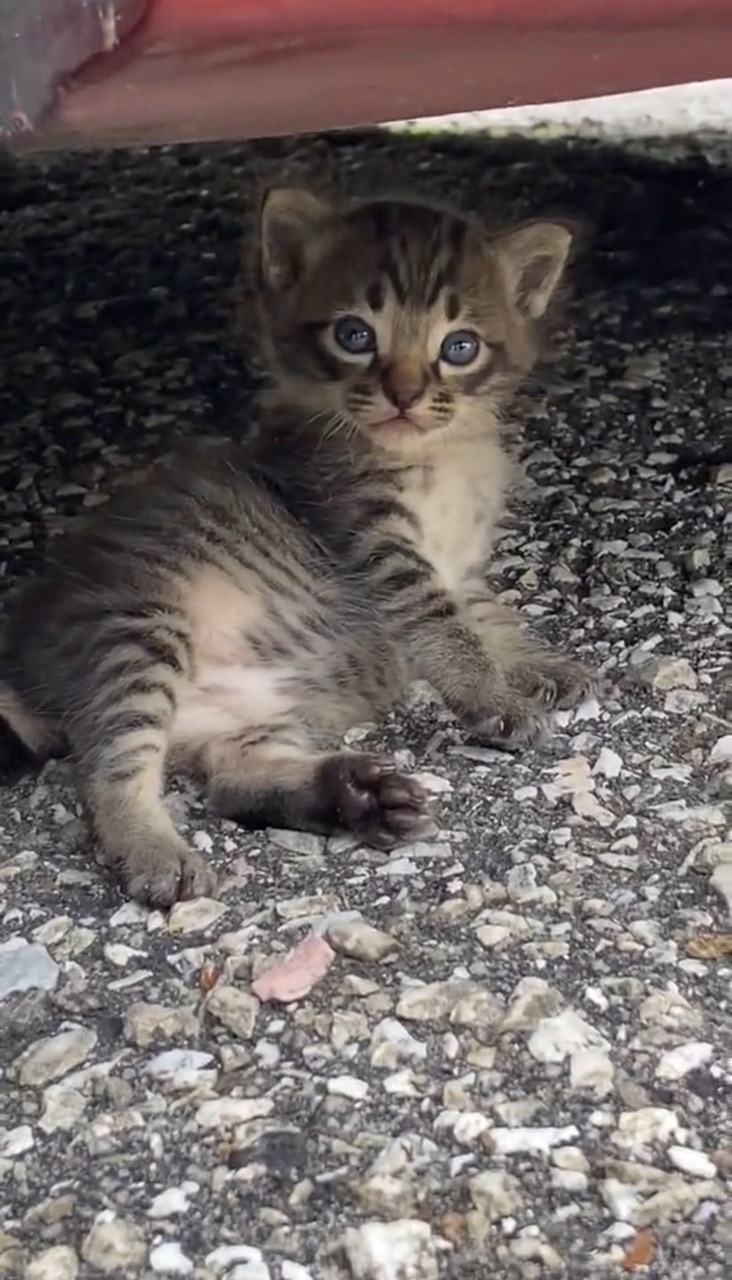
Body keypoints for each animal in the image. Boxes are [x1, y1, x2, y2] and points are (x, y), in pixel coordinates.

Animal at [0, 189, 588, 911]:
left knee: (236, 782)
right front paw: (495, 700)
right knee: (110, 770)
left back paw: (357, 797)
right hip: (136, 636)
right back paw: (155, 851)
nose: (405, 395)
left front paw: (538, 662)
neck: (438, 456)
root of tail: (22, 657)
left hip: (253, 717)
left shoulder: (461, 569)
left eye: (460, 346)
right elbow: (444, 627)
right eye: (355, 335)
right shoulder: (374, 540)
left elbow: (488, 616)